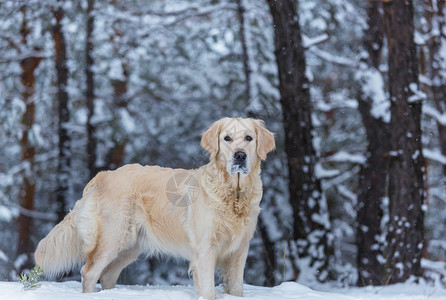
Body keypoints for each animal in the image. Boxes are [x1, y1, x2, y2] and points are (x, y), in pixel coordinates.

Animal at [35, 117, 276, 300]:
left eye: (249, 138)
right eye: (227, 138)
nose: (240, 155)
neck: (233, 194)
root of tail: (104, 175)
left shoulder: (239, 250)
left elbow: (236, 287)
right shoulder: (205, 249)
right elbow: (207, 289)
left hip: (129, 246)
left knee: (108, 274)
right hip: (112, 237)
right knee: (89, 271)